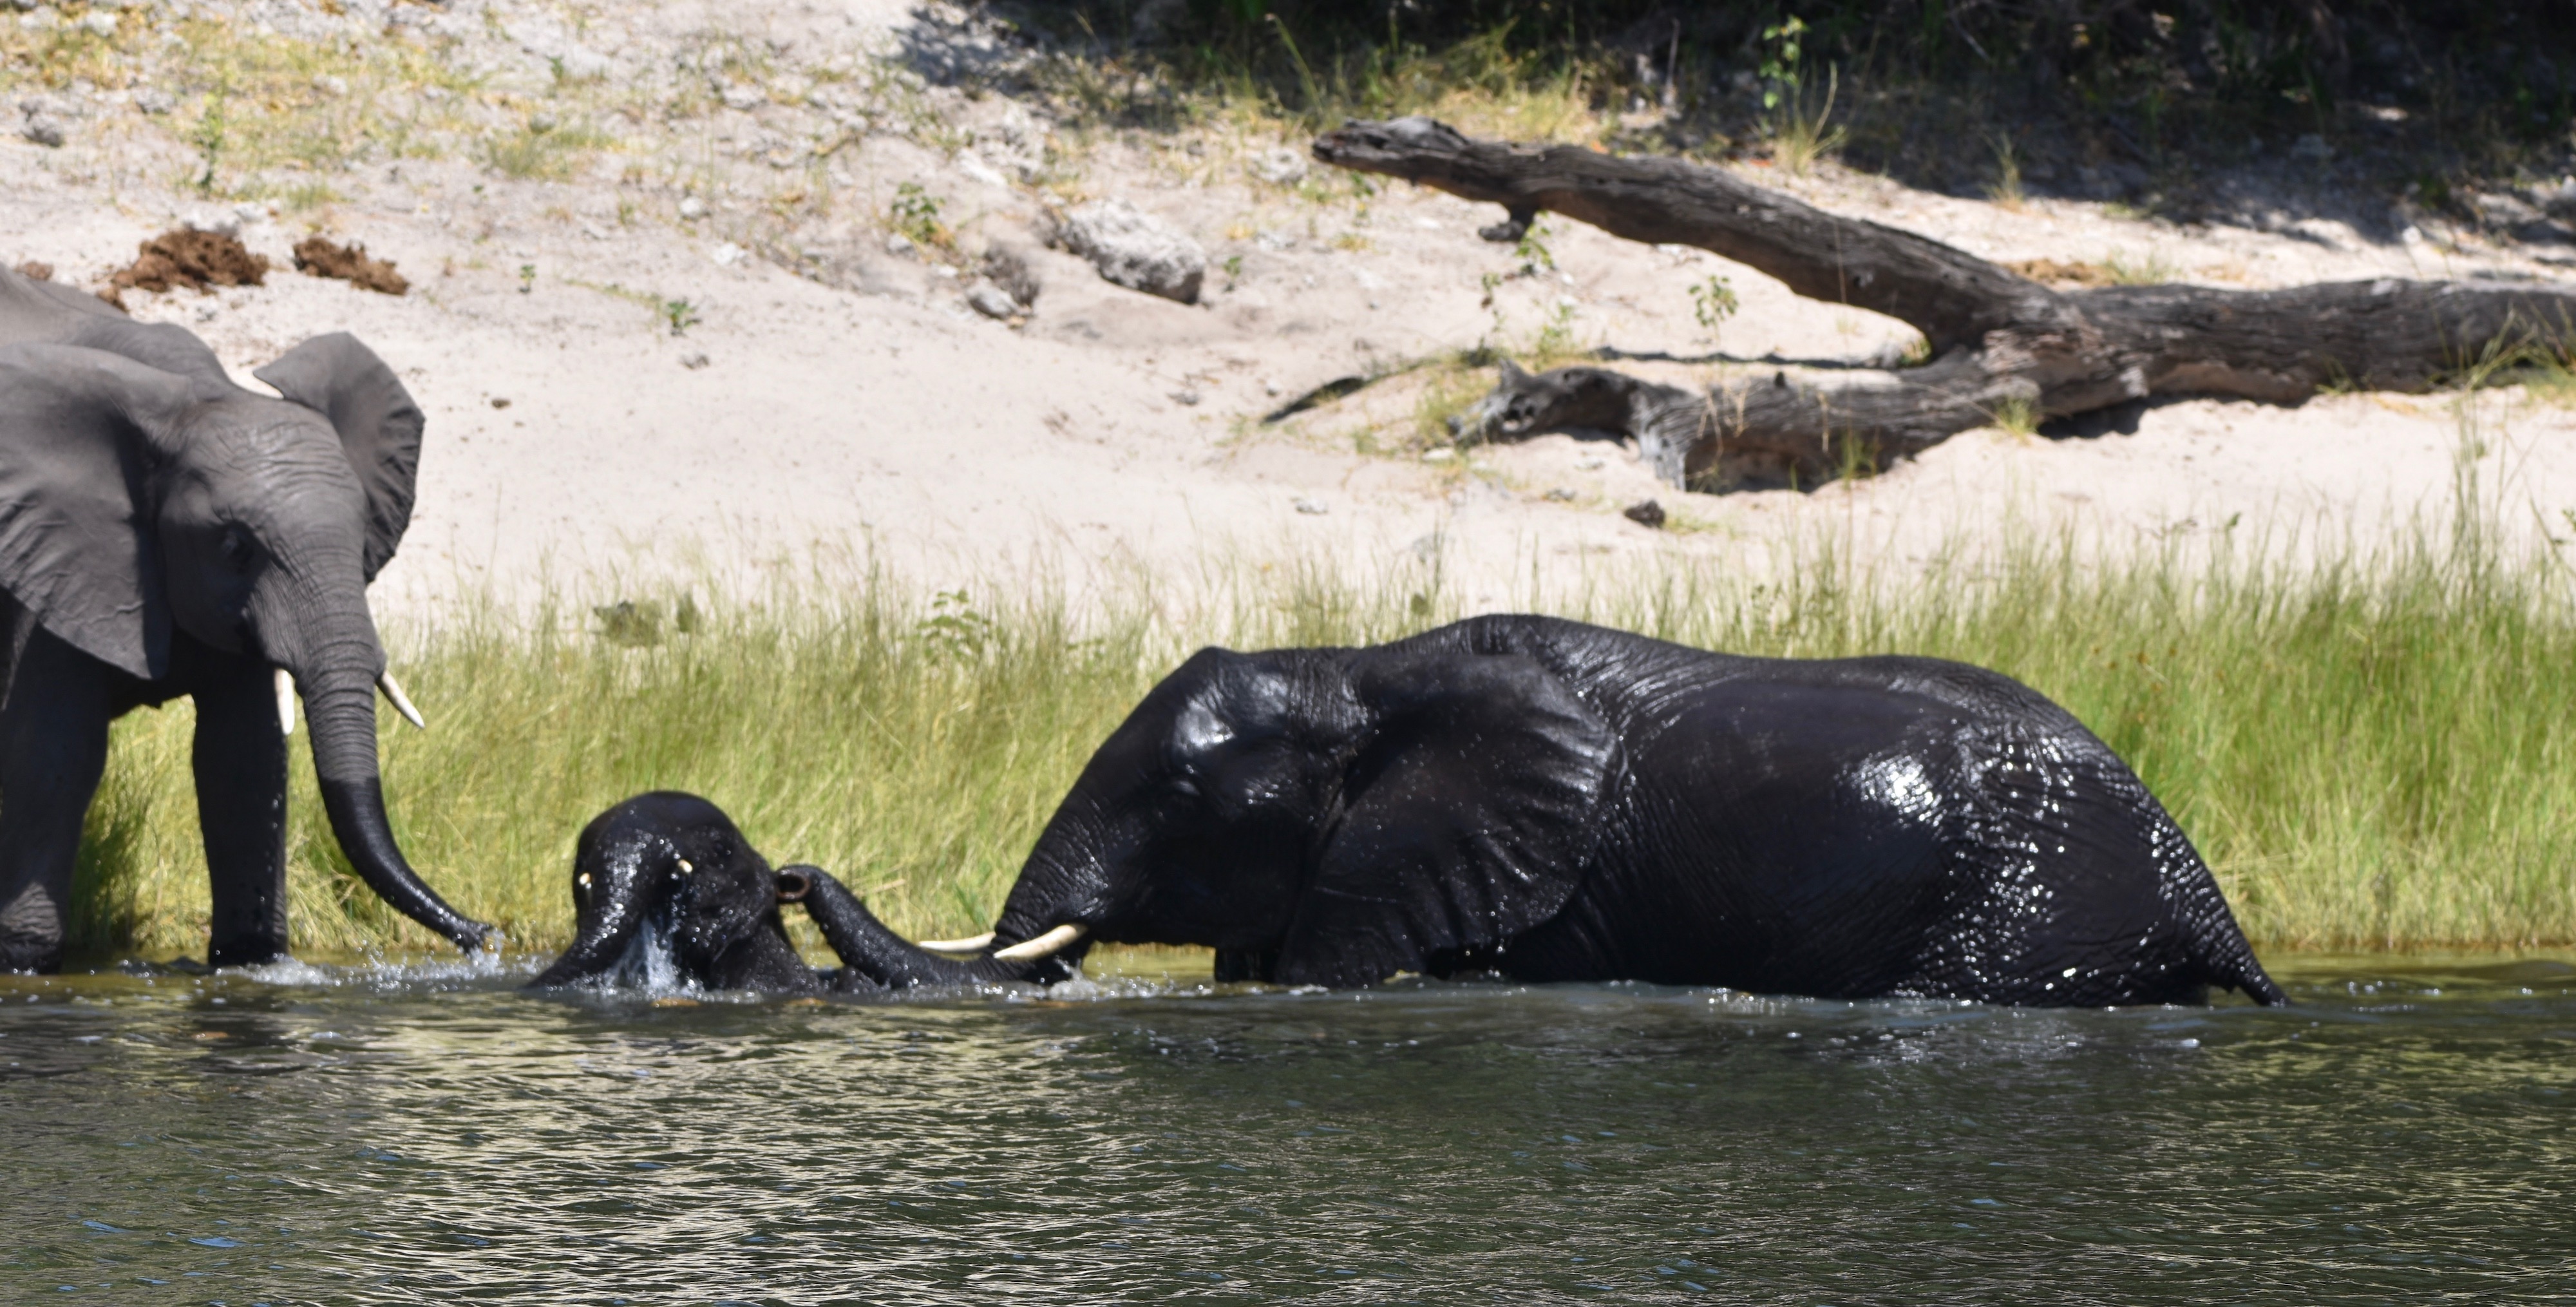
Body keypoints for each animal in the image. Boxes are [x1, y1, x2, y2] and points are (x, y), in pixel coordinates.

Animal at [0, 263, 489, 974]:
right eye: (235, 547)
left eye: (361, 537)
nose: (483, 934)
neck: (197, 399)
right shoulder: (54, 557)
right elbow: (53, 750)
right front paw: (25, 960)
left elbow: (243, 755)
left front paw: (251, 959)